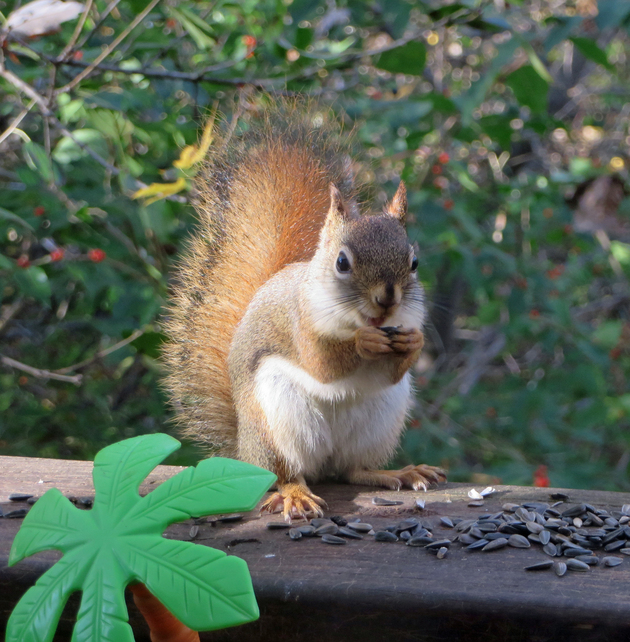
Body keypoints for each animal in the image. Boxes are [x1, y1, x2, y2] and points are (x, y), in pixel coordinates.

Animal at [164, 100, 450, 520]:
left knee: (351, 470)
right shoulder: (299, 322)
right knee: (284, 472)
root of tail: (243, 452)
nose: (387, 300)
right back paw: (294, 493)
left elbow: (394, 366)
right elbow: (321, 363)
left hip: (381, 418)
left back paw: (396, 472)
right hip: (275, 420)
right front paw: (363, 342)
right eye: (342, 263)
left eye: (414, 263)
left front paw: (413, 342)